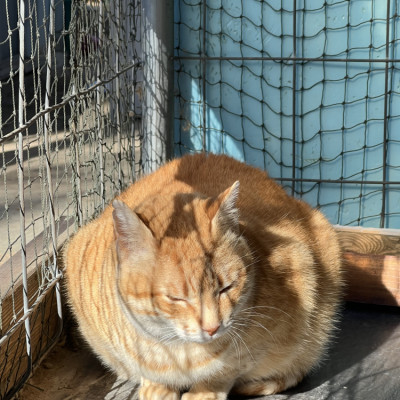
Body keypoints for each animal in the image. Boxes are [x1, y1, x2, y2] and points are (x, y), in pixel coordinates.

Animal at [64, 153, 343, 400]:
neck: (176, 351)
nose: (212, 328)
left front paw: (204, 392)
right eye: (176, 298)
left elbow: (227, 368)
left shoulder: (301, 276)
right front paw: (157, 386)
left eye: (227, 287)